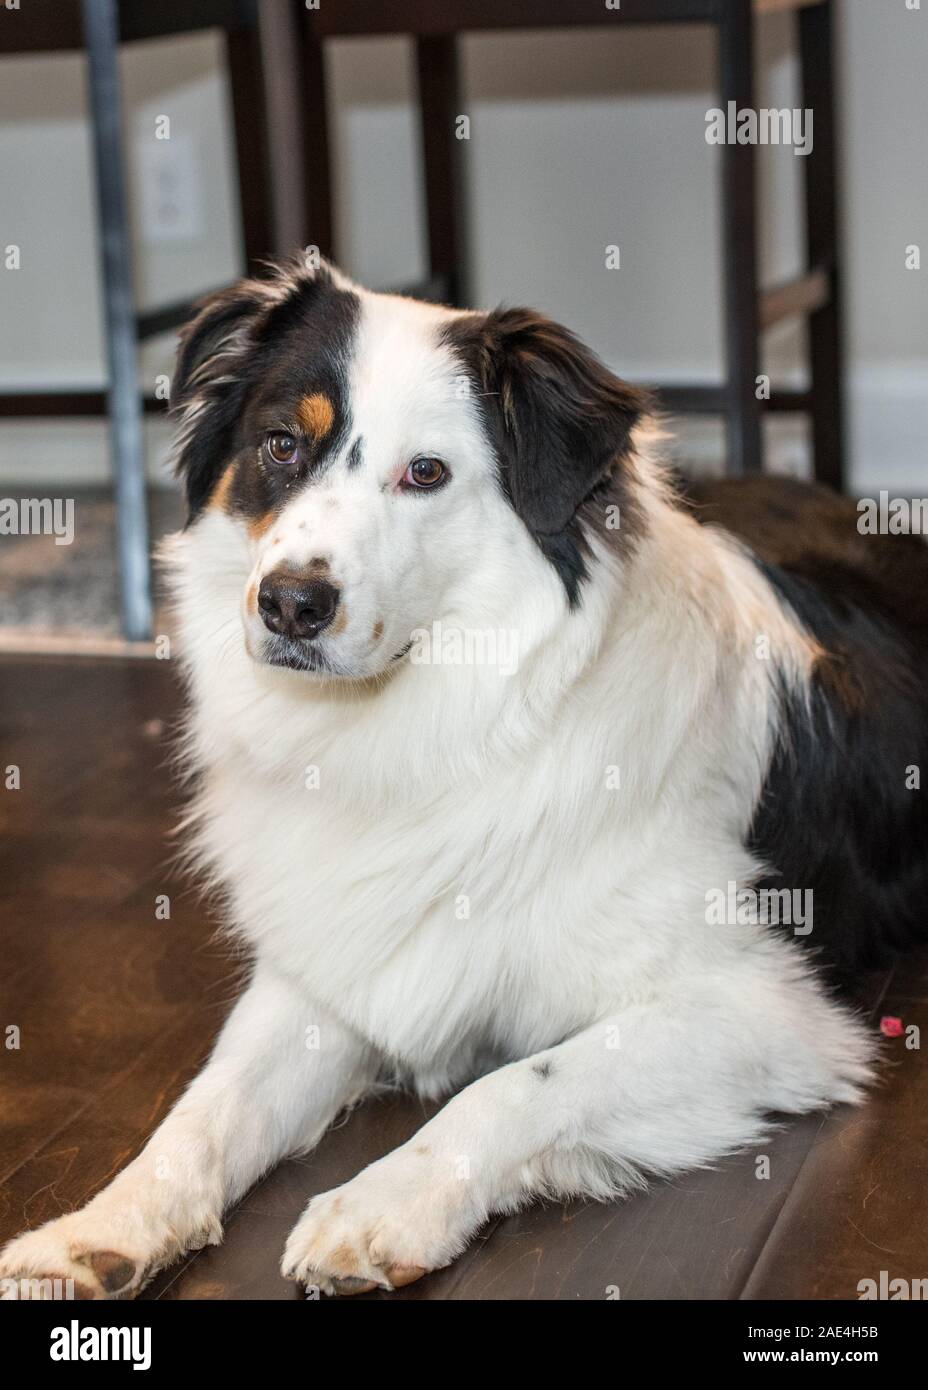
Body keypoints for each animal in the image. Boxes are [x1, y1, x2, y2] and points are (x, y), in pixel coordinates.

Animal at [1, 252, 928, 1301]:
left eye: (427, 473)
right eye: (281, 445)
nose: (289, 604)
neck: (436, 731)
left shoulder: (762, 1010)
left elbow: (516, 1084)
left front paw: (380, 1205)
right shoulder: (330, 968)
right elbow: (205, 1105)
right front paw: (103, 1224)